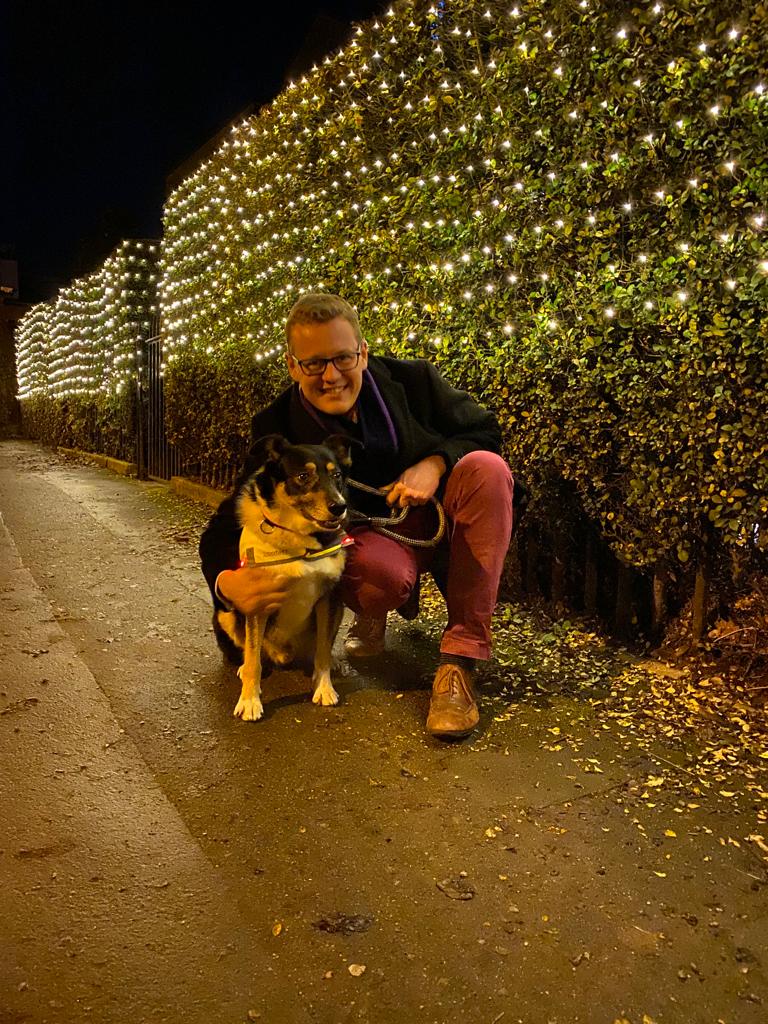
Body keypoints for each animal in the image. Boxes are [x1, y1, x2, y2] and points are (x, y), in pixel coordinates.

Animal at [213, 434, 353, 722]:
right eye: (302, 476)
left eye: (337, 476)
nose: (340, 507)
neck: (300, 543)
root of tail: (283, 655)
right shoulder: (257, 604)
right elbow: (254, 660)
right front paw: (250, 701)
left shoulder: (329, 597)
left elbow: (323, 651)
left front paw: (324, 688)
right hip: (225, 613)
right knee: (250, 651)